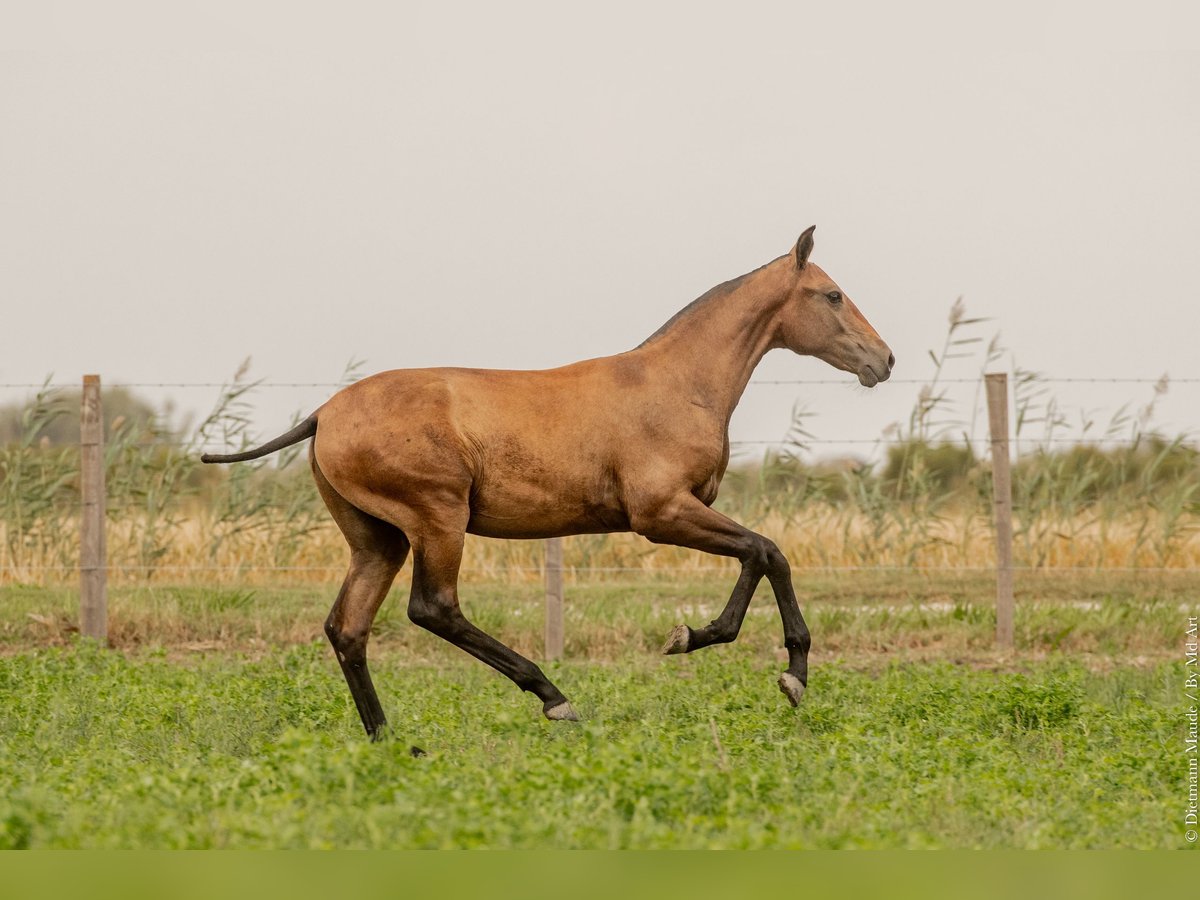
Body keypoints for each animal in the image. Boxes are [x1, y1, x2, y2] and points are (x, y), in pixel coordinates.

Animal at [201, 229, 892, 744]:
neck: (677, 384)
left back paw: (389, 738)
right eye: (832, 295)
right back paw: (554, 698)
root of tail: (323, 414)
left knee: (348, 628)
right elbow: (768, 551)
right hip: (437, 521)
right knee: (433, 609)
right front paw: (766, 665)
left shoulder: (683, 512)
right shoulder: (661, 514)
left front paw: (714, 644)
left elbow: (760, 555)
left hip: (378, 541)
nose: (884, 361)